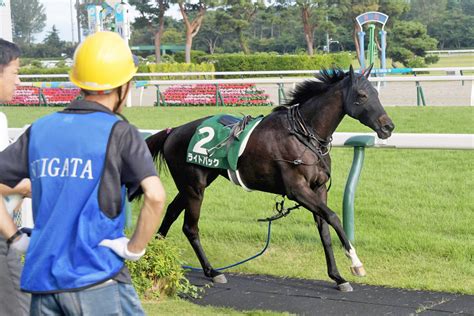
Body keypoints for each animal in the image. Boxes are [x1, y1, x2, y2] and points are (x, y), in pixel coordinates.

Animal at [143, 66, 394, 292]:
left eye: (376, 93)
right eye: (362, 95)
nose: (388, 126)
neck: (305, 135)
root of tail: (173, 131)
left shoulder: (319, 188)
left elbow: (324, 229)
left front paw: (338, 277)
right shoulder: (298, 190)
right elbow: (333, 217)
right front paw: (356, 263)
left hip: (194, 184)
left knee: (171, 212)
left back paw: (155, 256)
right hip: (194, 186)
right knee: (190, 227)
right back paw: (212, 271)